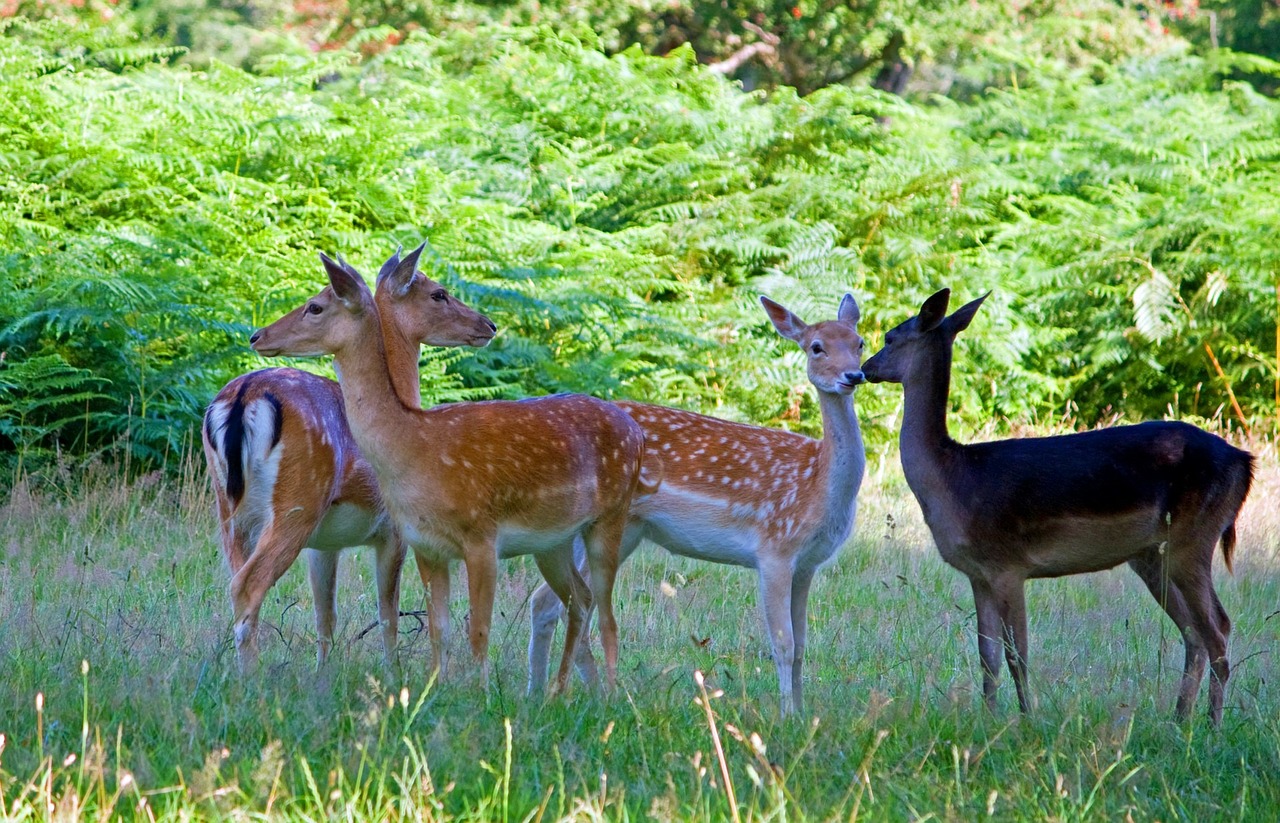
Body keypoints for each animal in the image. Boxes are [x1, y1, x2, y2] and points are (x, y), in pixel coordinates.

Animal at [202, 249, 496, 670]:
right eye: (439, 293)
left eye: (314, 304)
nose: (489, 325)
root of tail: (244, 396)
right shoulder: (393, 529)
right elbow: (388, 614)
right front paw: (392, 673)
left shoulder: (324, 544)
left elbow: (325, 616)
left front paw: (324, 674)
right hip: (298, 501)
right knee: (247, 584)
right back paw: (250, 676)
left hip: (229, 509)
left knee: (236, 580)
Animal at [248, 249, 655, 691]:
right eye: (439, 294)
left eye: (315, 306)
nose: (257, 335)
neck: (416, 447)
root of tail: (635, 432)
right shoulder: (424, 544)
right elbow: (438, 628)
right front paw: (433, 690)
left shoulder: (482, 535)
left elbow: (478, 629)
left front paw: (481, 694)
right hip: (553, 541)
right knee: (579, 600)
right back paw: (556, 693)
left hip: (612, 517)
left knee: (608, 617)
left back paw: (609, 696)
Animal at [524, 294, 865, 716]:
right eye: (816, 347)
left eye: (859, 343)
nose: (854, 375)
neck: (817, 486)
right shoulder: (775, 548)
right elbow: (783, 644)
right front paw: (786, 716)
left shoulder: (808, 564)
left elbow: (802, 645)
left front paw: (801, 715)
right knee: (564, 602)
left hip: (613, 530)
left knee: (548, 601)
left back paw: (540, 695)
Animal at [860, 286, 1249, 727]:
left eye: (890, 337)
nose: (864, 368)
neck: (955, 479)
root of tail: (1244, 462)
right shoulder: (979, 573)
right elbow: (987, 655)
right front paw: (989, 720)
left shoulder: (1008, 564)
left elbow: (1017, 655)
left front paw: (1027, 720)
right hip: (1153, 555)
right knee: (1193, 633)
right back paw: (1179, 720)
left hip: (1194, 537)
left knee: (1218, 628)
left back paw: (1211, 726)